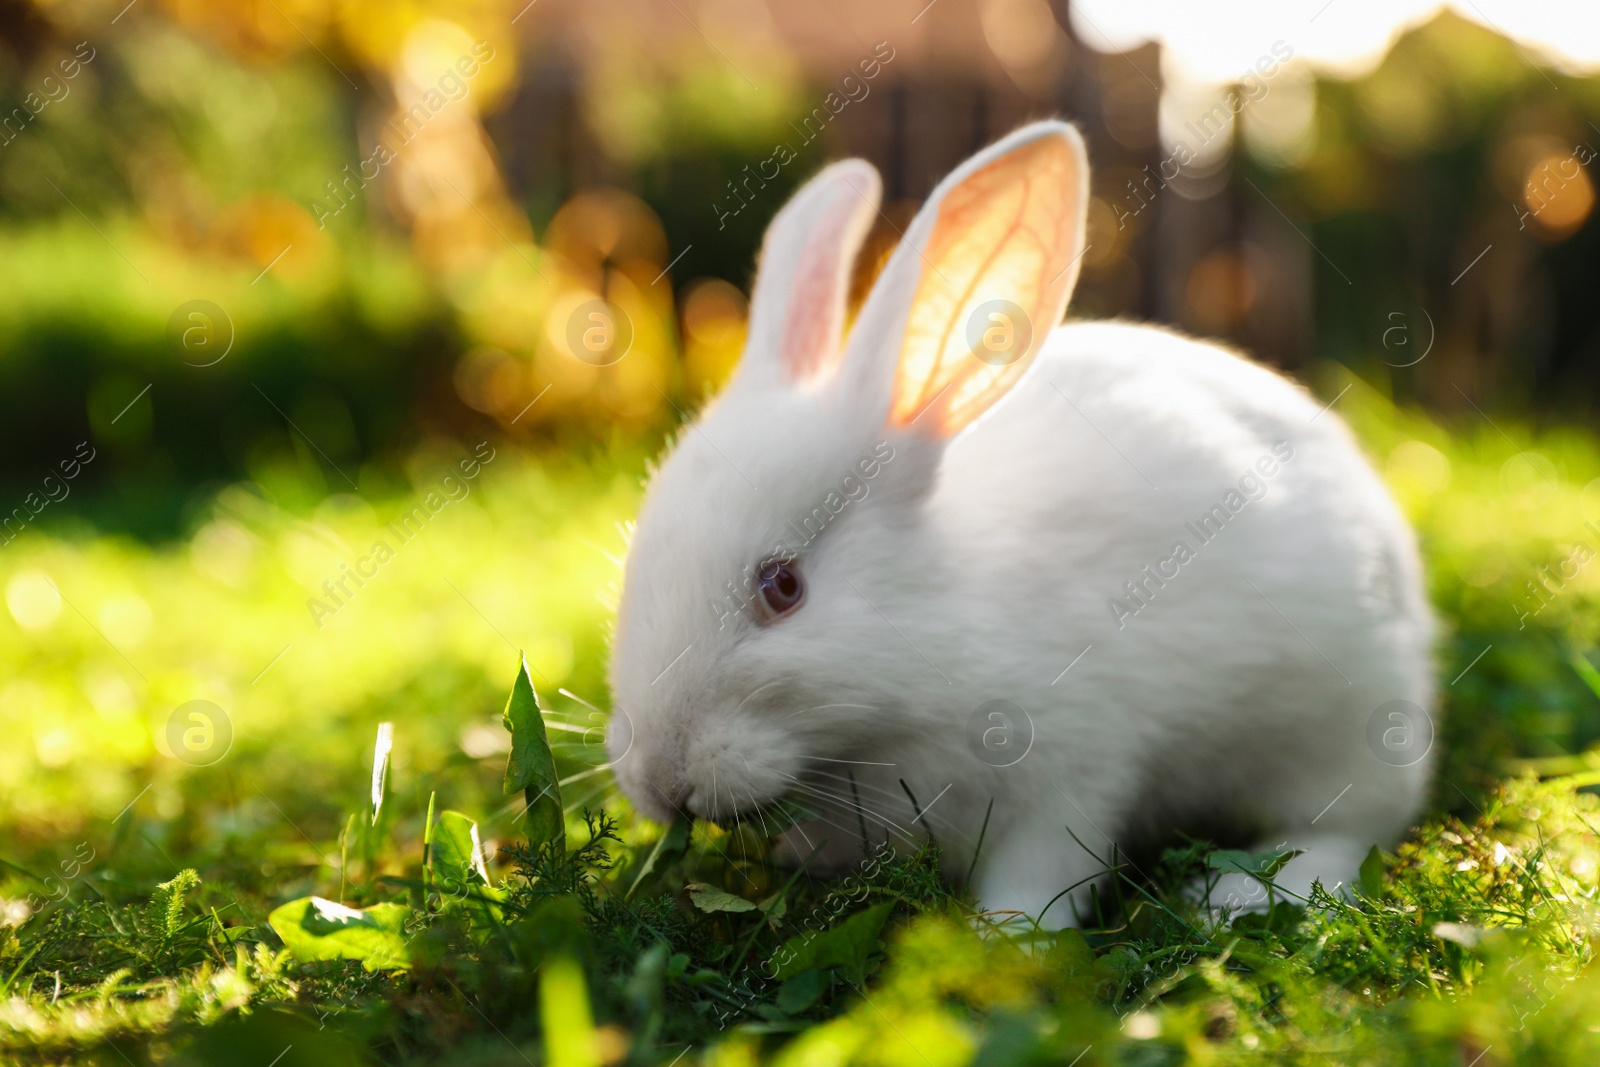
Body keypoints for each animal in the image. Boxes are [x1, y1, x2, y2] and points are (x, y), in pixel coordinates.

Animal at [604, 119, 1433, 927]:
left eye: (782, 587)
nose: (661, 778)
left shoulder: (1075, 768)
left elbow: (1047, 868)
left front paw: (1001, 937)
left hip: (1344, 727)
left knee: (1348, 829)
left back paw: (1243, 894)